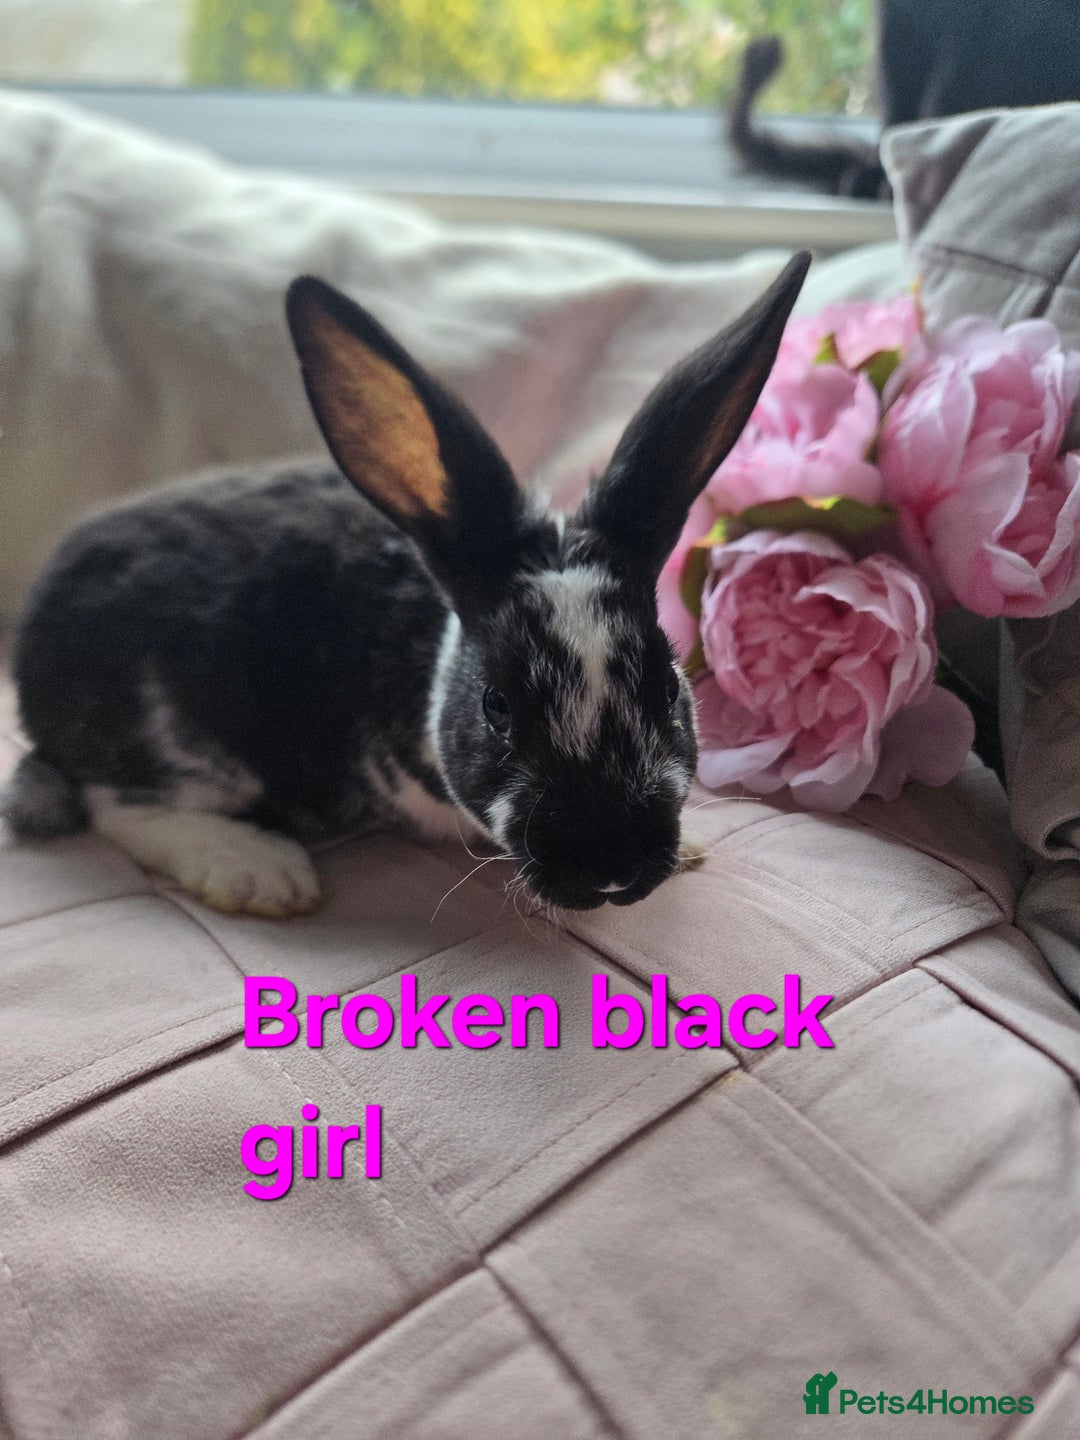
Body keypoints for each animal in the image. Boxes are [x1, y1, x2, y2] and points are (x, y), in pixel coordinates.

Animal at [2, 251, 810, 917]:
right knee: (118, 803)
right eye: (496, 707)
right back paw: (258, 871)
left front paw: (691, 848)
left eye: (668, 687)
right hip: (178, 738)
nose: (612, 863)